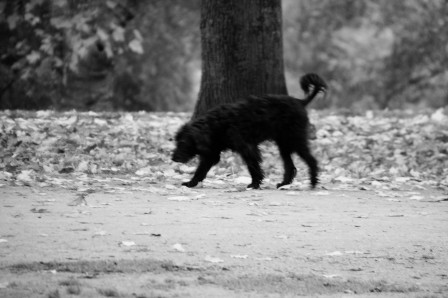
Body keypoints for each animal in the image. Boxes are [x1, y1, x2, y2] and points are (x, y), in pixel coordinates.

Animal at [171, 73, 326, 189]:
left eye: (183, 142)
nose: (173, 158)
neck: (214, 124)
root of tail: (300, 101)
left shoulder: (247, 147)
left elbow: (253, 166)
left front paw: (254, 184)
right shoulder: (212, 154)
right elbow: (200, 170)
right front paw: (191, 183)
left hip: (295, 139)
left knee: (311, 160)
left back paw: (313, 182)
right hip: (284, 144)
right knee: (290, 166)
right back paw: (284, 183)